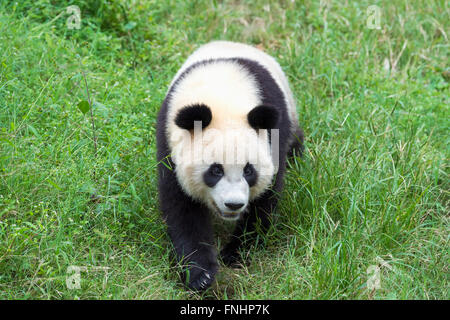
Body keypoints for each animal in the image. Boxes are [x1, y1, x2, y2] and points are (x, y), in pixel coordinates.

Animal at [156, 40, 304, 290]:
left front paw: (235, 254)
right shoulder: (168, 140)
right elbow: (182, 209)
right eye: (215, 170)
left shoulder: (273, 135)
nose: (234, 204)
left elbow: (264, 200)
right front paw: (200, 275)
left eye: (248, 170)